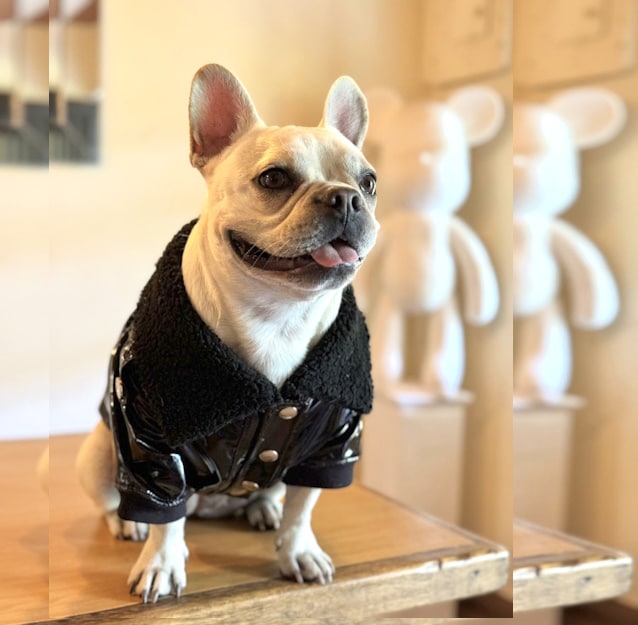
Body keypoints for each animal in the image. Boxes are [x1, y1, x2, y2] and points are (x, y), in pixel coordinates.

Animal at [78, 62, 382, 600]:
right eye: (274, 178)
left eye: (368, 183)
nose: (346, 198)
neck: (278, 315)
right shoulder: (152, 444)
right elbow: (165, 514)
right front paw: (161, 562)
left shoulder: (334, 438)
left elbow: (305, 504)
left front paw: (299, 550)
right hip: (97, 452)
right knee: (120, 501)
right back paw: (127, 522)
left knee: (273, 492)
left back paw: (263, 507)